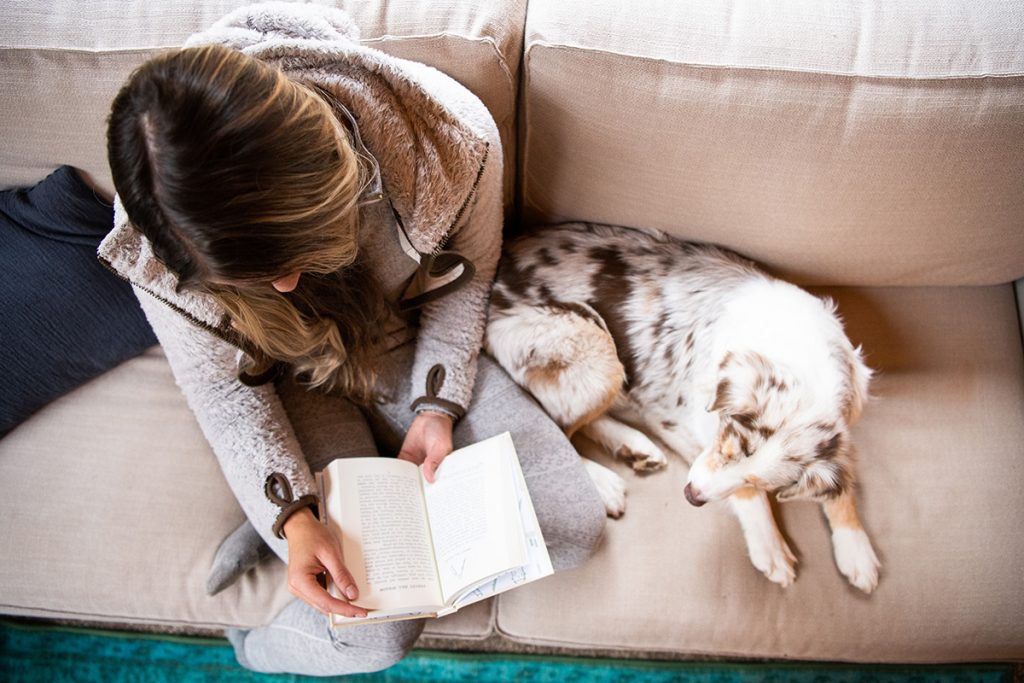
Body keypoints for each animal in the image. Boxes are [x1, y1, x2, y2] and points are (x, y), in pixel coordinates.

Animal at [485, 224, 880, 593]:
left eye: (762, 479)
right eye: (725, 447)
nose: (691, 497)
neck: (792, 351)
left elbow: (840, 486)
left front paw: (856, 549)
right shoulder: (688, 424)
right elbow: (747, 498)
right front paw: (769, 546)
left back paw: (635, 447)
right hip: (596, 347)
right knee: (555, 423)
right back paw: (604, 482)